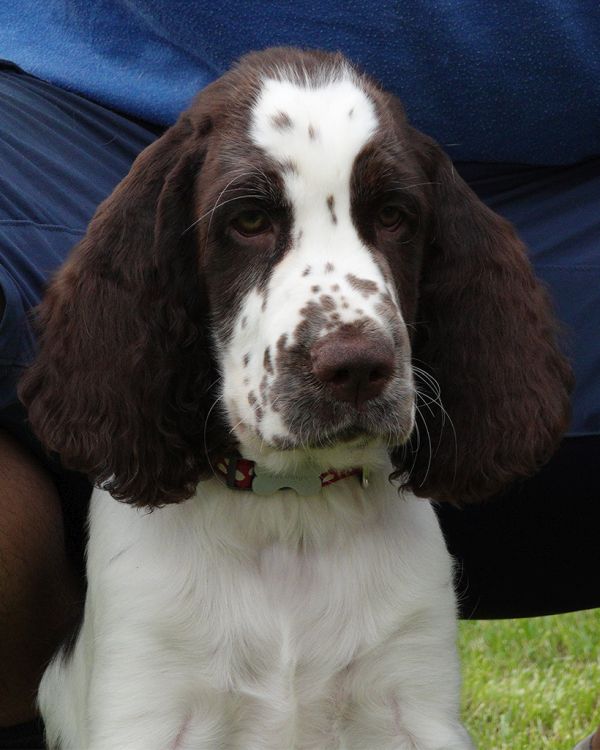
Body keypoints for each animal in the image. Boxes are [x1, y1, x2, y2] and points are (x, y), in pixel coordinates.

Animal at [19, 48, 572, 750]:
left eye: (393, 216)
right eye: (250, 221)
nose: (358, 366)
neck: (292, 511)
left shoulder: (416, 698)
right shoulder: (146, 699)